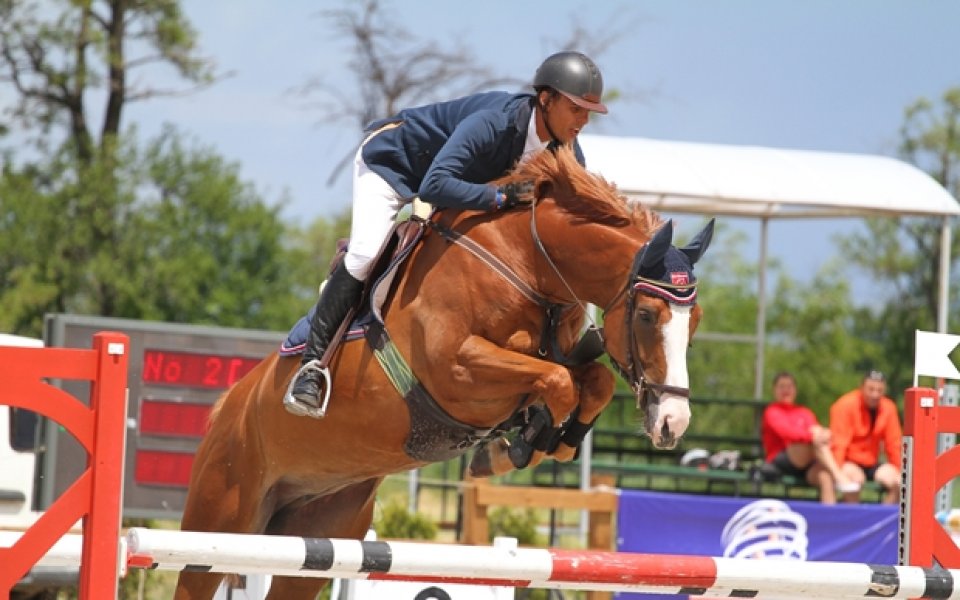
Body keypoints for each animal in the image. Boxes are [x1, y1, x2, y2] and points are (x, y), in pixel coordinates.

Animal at [172, 146, 712, 600]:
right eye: (648, 316)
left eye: (696, 322)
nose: (673, 424)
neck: (524, 262)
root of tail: (227, 405)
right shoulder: (458, 370)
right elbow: (555, 381)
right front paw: (521, 444)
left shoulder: (547, 359)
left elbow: (588, 380)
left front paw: (545, 440)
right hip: (221, 516)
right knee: (196, 575)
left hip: (317, 536)